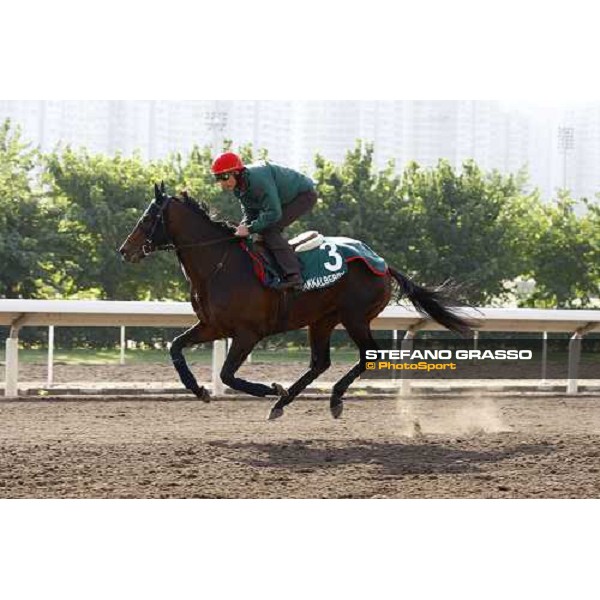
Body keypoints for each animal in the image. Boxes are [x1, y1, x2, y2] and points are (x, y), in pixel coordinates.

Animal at [118, 182, 474, 418]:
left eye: (147, 218)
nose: (125, 250)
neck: (220, 264)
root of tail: (383, 263)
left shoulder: (248, 333)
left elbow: (228, 375)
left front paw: (270, 388)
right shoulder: (213, 326)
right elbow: (176, 348)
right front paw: (199, 389)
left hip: (355, 317)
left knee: (368, 356)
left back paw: (328, 399)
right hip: (322, 320)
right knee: (320, 362)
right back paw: (284, 402)